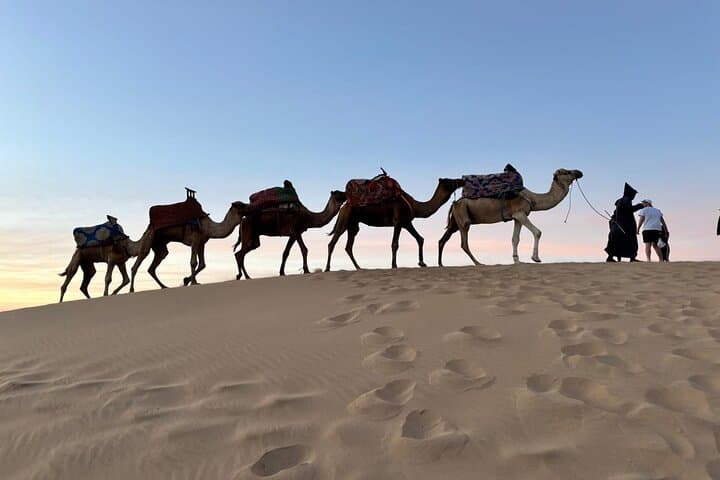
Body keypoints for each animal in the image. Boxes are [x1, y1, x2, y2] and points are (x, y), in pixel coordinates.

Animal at [325, 177, 464, 271]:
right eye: (449, 181)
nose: (461, 180)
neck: (415, 206)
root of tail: (344, 206)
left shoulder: (406, 222)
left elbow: (420, 239)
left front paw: (422, 263)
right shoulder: (398, 221)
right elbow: (395, 244)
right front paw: (394, 265)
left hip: (353, 225)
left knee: (348, 246)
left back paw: (359, 267)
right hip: (344, 220)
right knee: (332, 243)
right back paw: (327, 268)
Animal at [438, 168, 583, 266]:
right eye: (565, 172)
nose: (579, 172)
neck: (532, 198)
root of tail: (454, 203)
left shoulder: (517, 217)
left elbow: (515, 239)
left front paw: (517, 260)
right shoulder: (520, 213)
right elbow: (538, 232)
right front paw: (535, 258)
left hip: (455, 221)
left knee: (443, 239)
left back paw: (441, 264)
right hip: (463, 218)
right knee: (464, 243)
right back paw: (478, 263)